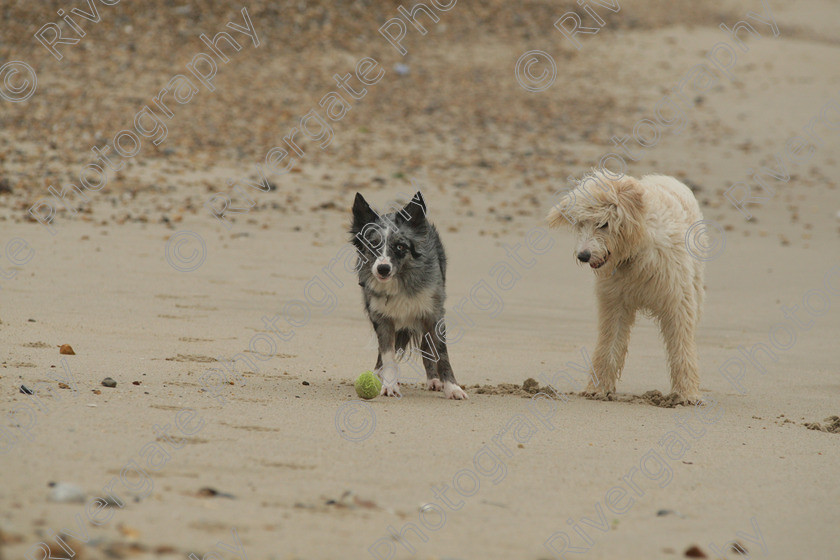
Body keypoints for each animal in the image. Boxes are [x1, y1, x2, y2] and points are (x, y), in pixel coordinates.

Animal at [348, 191, 466, 398]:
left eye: (400, 247)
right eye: (373, 244)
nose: (383, 269)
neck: (399, 281)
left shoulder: (433, 314)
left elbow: (441, 353)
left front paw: (452, 387)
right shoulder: (382, 318)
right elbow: (387, 353)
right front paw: (389, 384)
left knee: (428, 348)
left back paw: (434, 380)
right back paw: (378, 374)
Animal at [548, 171, 704, 402]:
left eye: (603, 224)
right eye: (581, 224)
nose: (583, 255)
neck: (634, 254)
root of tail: (664, 177)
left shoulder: (677, 301)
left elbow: (681, 347)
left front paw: (686, 393)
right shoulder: (614, 302)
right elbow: (609, 344)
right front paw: (598, 388)